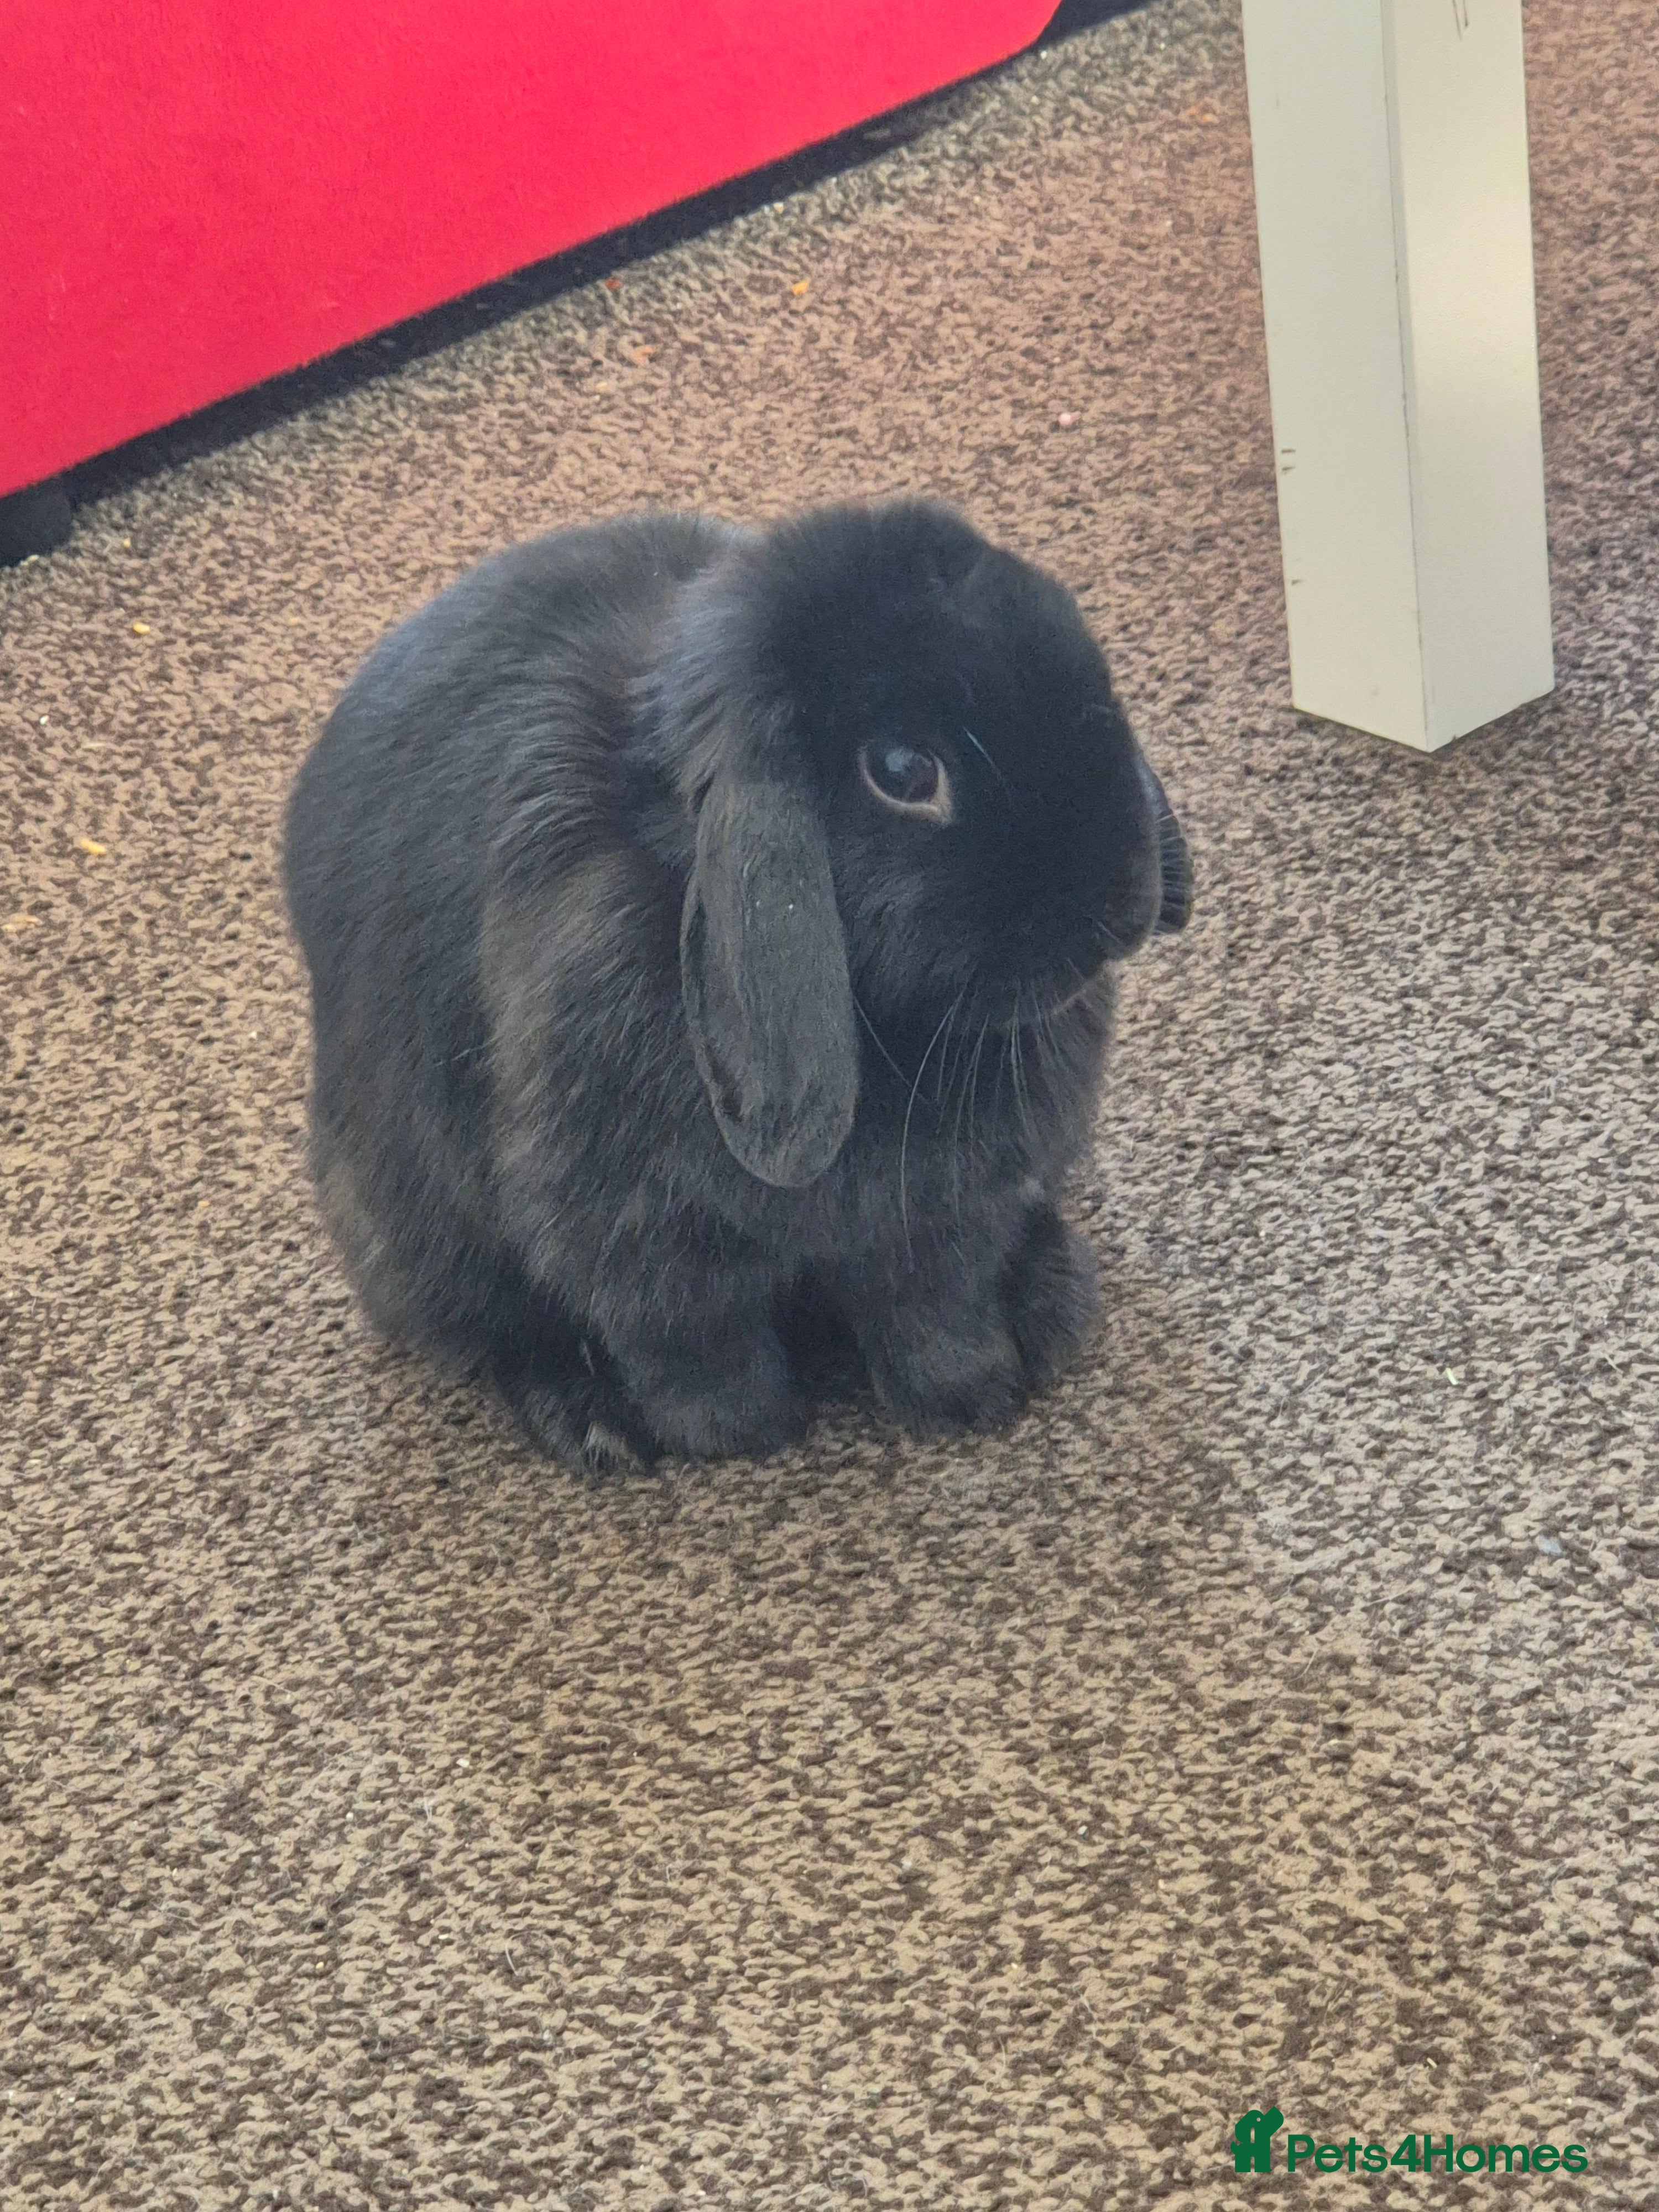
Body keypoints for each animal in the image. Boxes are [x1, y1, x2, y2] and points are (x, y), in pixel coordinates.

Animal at [281, 498, 1191, 1473]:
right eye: (904, 771)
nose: (1122, 903)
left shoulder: (945, 1218)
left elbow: (933, 1309)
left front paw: (970, 1399)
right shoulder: (641, 1233)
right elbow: (694, 1341)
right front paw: (741, 1437)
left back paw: (1053, 1298)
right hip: (418, 1231)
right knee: (501, 1329)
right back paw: (593, 1422)